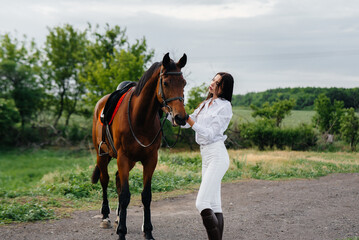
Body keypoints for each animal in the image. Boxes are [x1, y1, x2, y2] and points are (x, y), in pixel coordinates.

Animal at [90, 53, 188, 240]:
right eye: (166, 83)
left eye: (184, 83)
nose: (180, 117)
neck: (140, 118)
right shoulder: (123, 158)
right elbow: (125, 196)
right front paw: (122, 232)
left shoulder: (150, 159)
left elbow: (146, 196)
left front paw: (148, 231)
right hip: (103, 155)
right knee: (105, 181)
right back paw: (106, 217)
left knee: (117, 180)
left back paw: (118, 218)